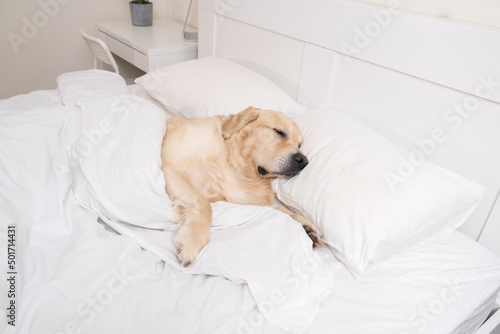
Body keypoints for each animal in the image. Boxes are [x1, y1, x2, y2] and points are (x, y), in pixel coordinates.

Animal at [162, 106, 322, 266]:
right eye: (279, 131)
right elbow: (203, 203)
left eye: (299, 145)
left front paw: (304, 225)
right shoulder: (170, 168)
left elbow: (272, 208)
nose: (303, 161)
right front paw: (193, 241)